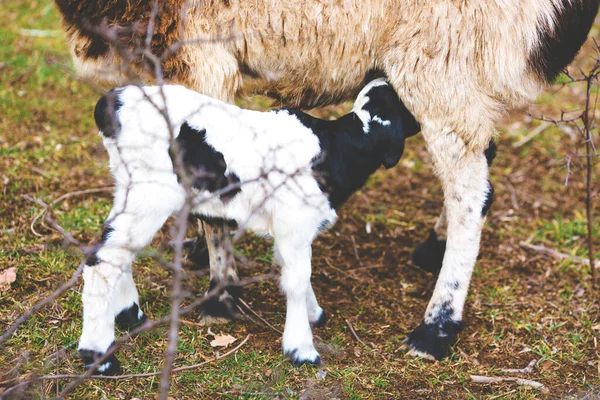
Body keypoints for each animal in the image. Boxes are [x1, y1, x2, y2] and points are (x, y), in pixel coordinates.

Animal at [79, 79, 420, 376]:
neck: (336, 146)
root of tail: (112, 101)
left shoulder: (290, 229)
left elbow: (292, 270)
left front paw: (314, 314)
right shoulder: (294, 222)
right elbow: (296, 281)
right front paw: (301, 349)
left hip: (130, 190)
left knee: (117, 249)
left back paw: (130, 315)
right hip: (151, 193)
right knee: (102, 260)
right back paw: (99, 358)